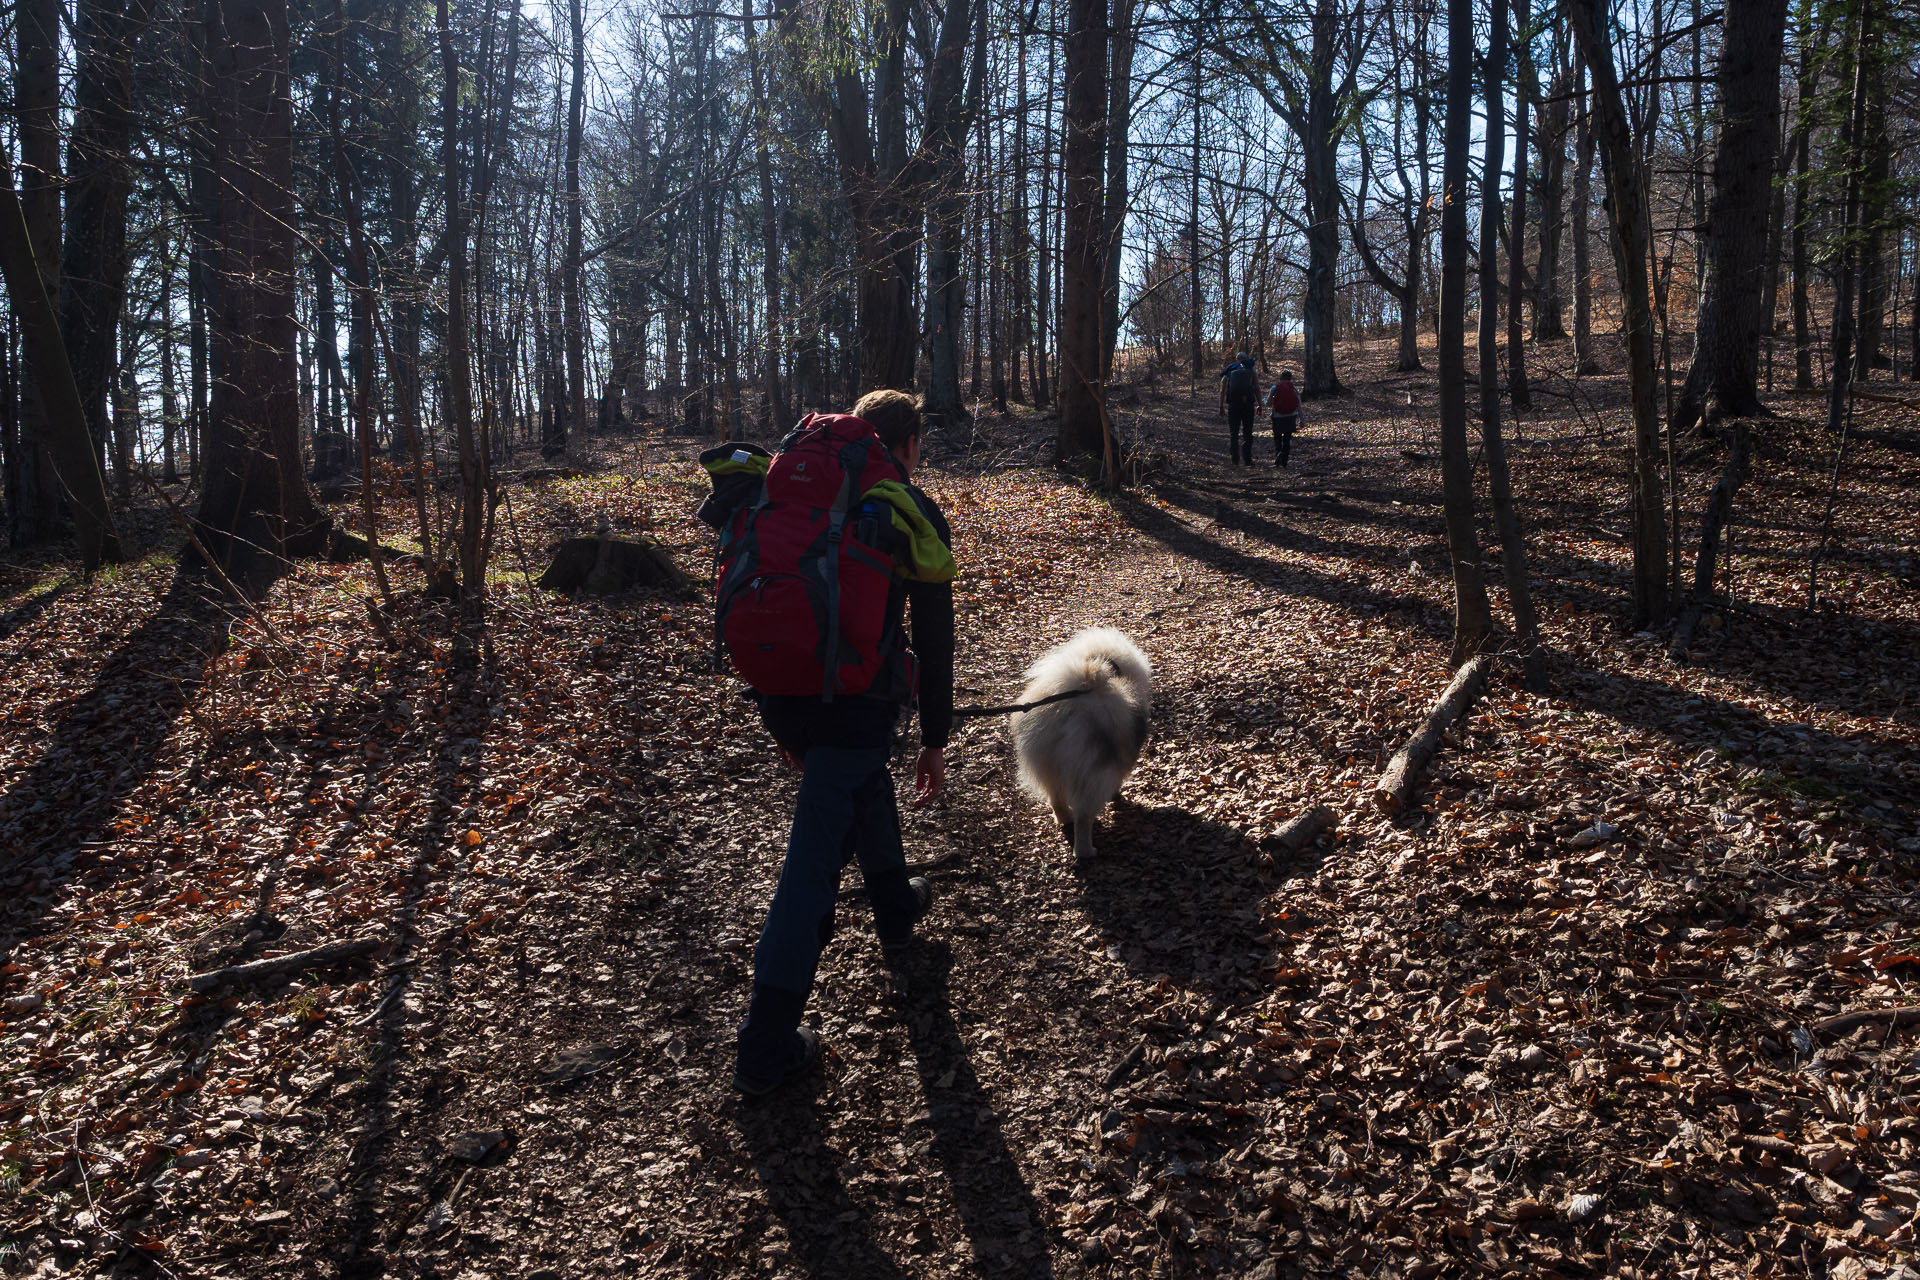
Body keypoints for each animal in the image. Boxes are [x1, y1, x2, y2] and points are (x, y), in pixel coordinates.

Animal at [1006, 629, 1152, 859]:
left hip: (1047, 765)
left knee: (1056, 799)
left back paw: (1065, 820)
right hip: (1092, 774)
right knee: (1084, 817)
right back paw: (1086, 851)